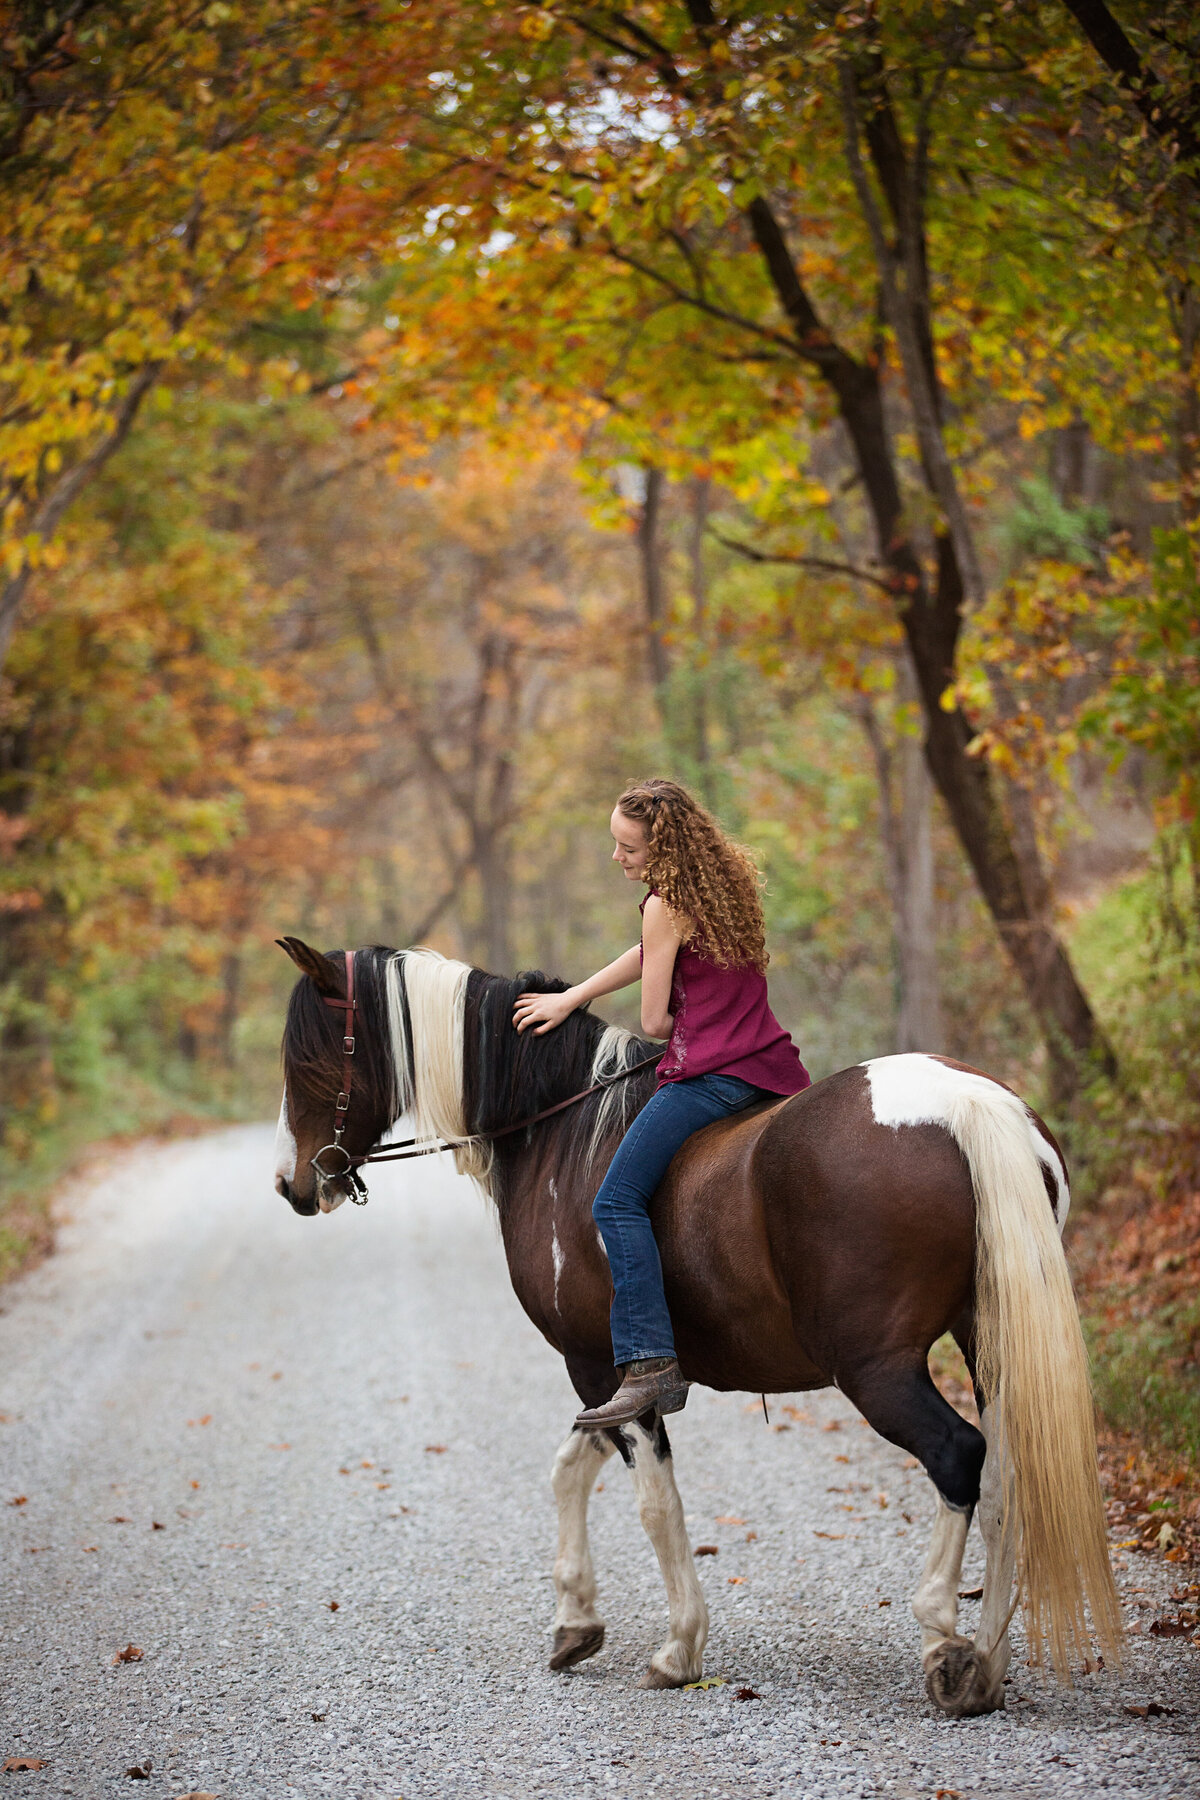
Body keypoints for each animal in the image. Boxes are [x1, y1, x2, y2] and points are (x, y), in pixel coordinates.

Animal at [277, 936, 1122, 1706]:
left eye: (306, 1060)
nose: (293, 1185)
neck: (560, 1132)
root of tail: (967, 1104)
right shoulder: (612, 1380)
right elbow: (569, 1467)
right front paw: (575, 1622)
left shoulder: (600, 1364)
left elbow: (654, 1501)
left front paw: (679, 1648)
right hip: (988, 1344)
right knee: (1009, 1476)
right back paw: (986, 1665)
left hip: (876, 1368)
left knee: (957, 1456)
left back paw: (943, 1640)